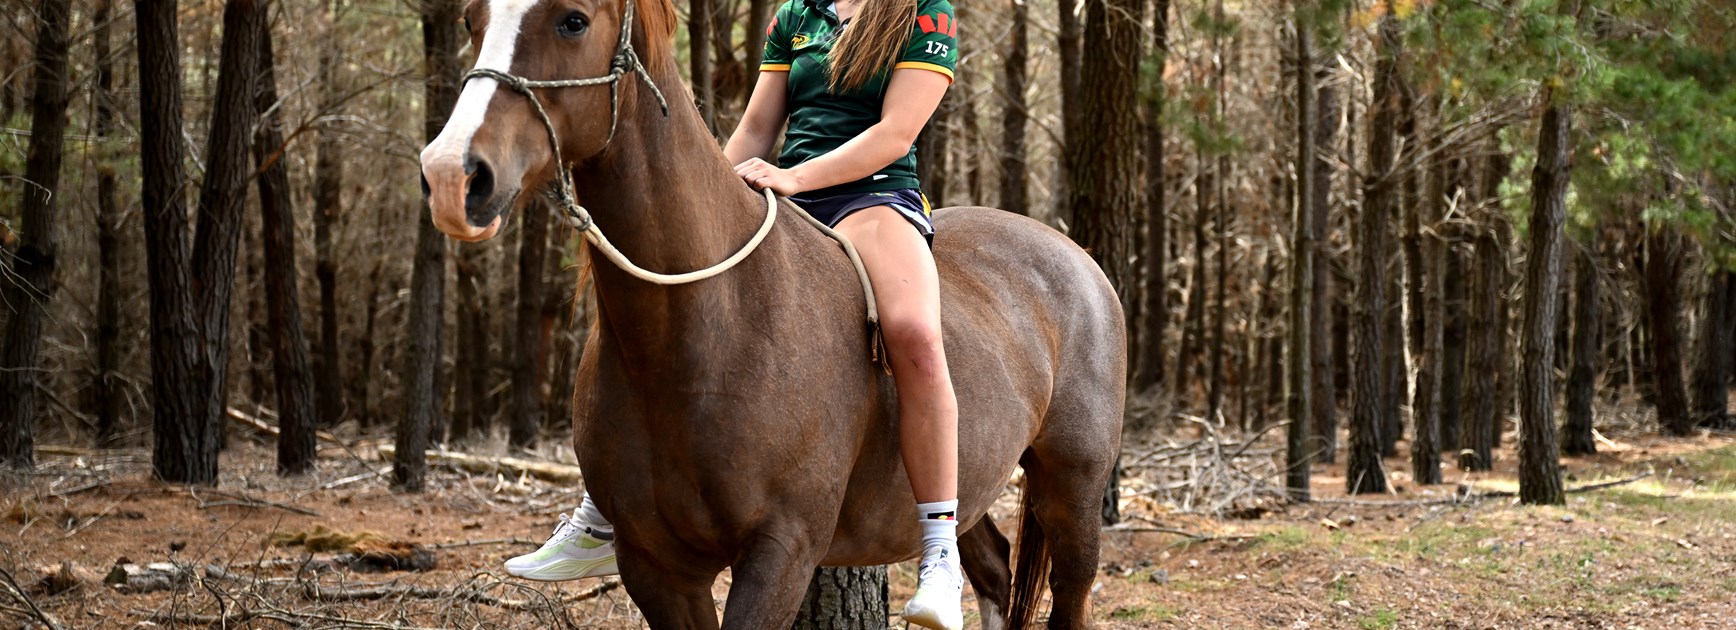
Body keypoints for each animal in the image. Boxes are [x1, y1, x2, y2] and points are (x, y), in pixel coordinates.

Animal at [420, 2, 1124, 628]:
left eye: (573, 21)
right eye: (471, 20)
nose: (452, 175)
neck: (705, 327)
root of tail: (1074, 256)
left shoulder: (780, 553)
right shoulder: (655, 565)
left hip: (1073, 484)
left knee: (1069, 588)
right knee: (993, 569)